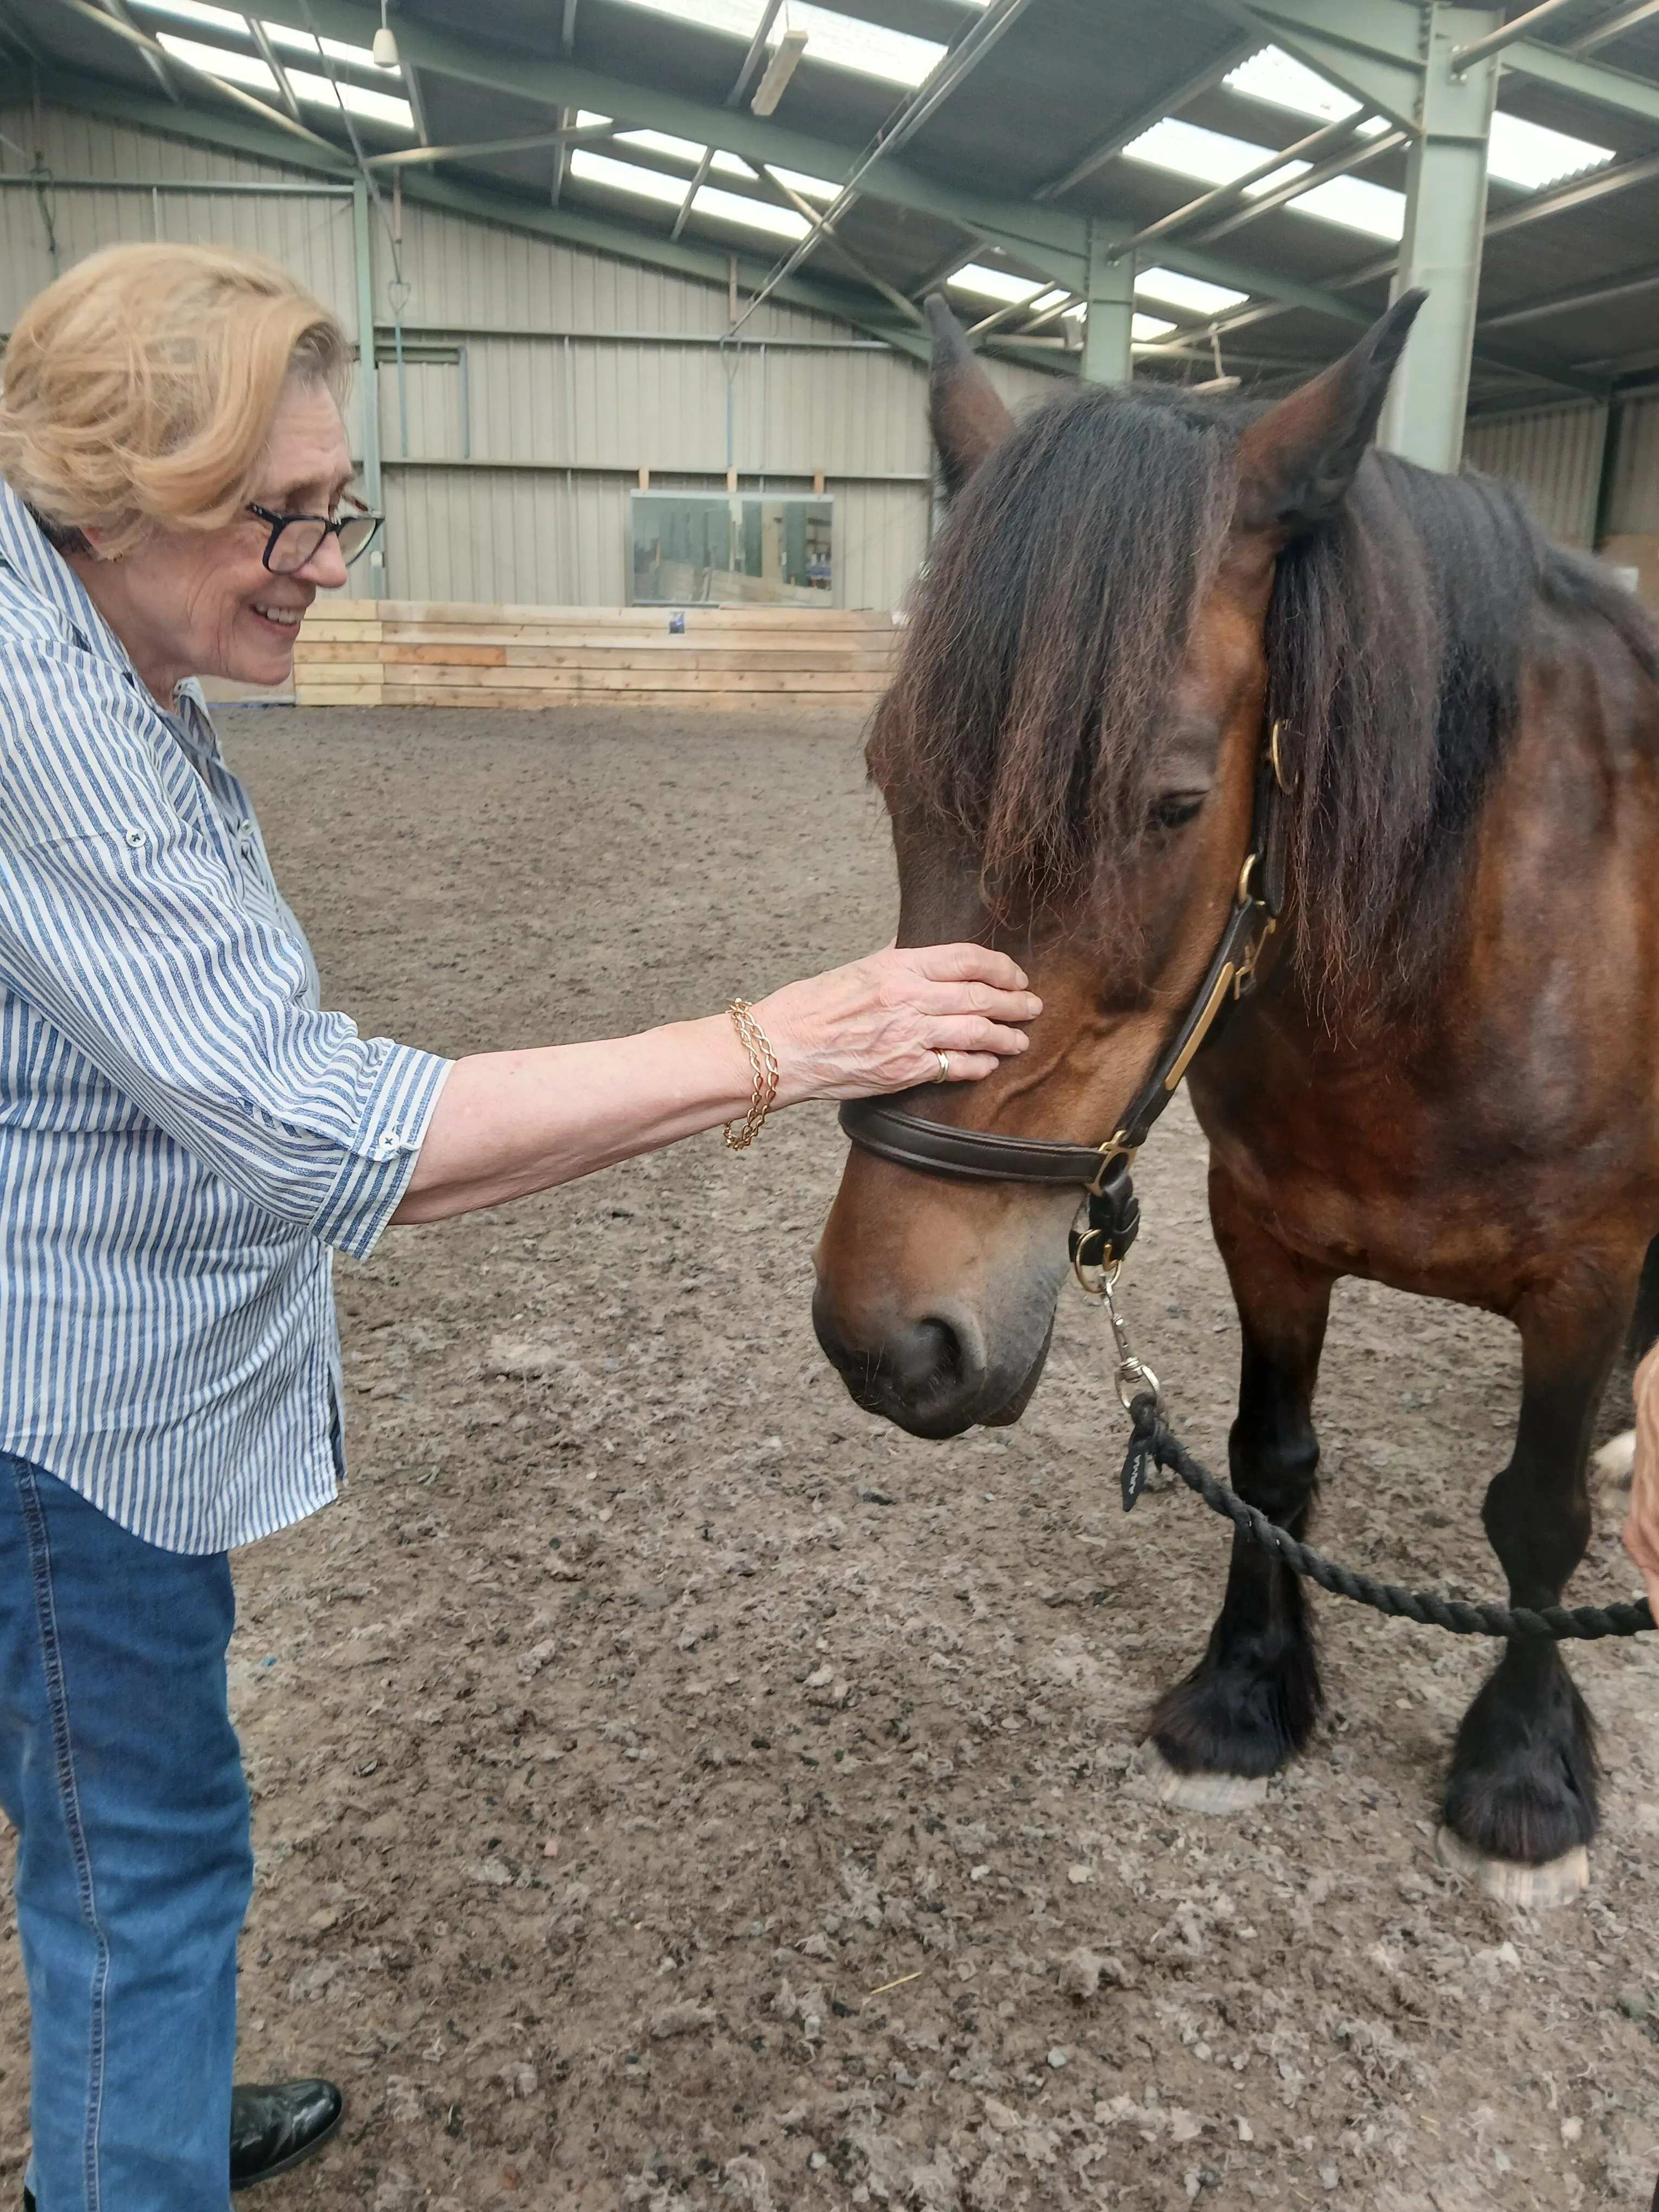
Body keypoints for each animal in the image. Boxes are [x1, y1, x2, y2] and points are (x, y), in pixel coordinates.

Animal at [811, 291, 1659, 1908]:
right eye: (883, 771)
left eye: (1173, 805)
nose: (890, 1343)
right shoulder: (1264, 1226)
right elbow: (1273, 1461)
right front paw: (1248, 1691)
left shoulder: (1587, 1272)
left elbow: (1537, 1515)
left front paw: (1523, 1769)